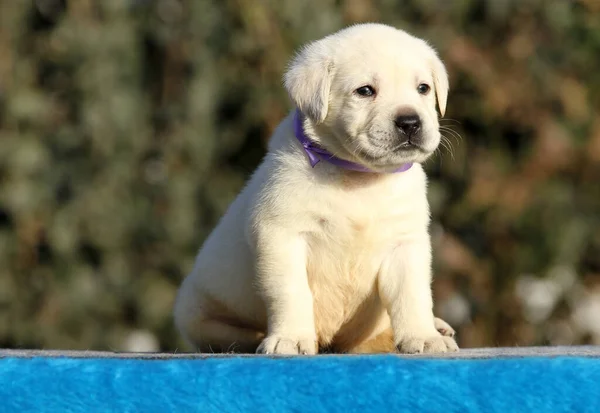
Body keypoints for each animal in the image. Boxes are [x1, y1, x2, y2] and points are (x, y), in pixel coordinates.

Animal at [173, 23, 460, 354]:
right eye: (365, 91)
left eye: (423, 88)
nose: (410, 122)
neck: (360, 177)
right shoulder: (281, 235)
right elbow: (290, 292)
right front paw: (291, 338)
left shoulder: (405, 243)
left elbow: (412, 295)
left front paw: (423, 337)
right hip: (195, 311)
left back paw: (433, 328)